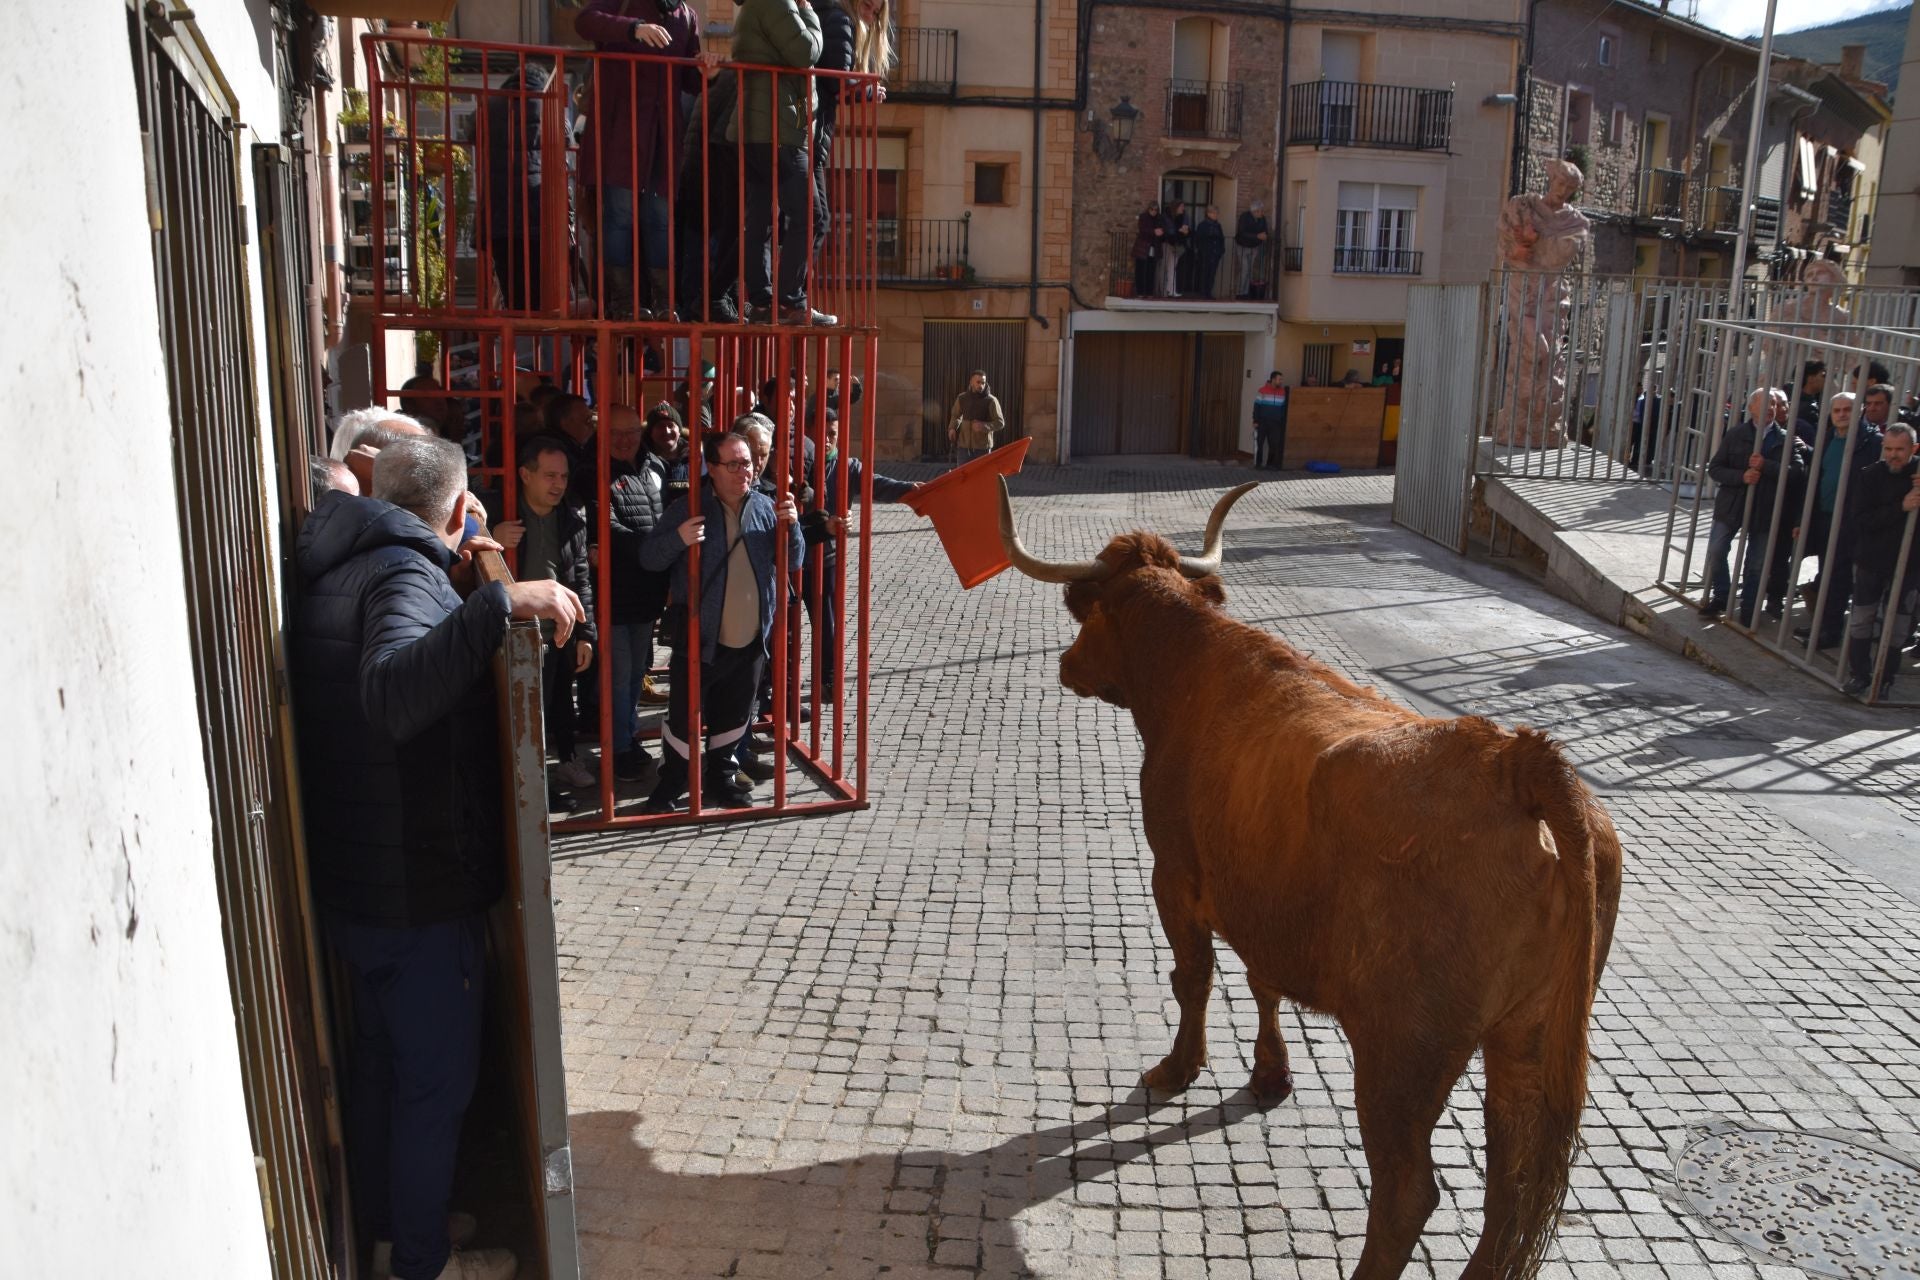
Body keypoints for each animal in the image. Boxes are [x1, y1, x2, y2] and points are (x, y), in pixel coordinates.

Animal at [1006, 483, 1620, 1280]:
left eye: (1086, 613)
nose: (1066, 663)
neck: (1195, 673)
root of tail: (1513, 759)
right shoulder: (1259, 895)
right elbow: (1262, 981)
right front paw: (1271, 1075)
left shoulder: (1176, 874)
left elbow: (1195, 977)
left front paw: (1178, 1068)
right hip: (1526, 1040)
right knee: (1507, 1187)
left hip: (1402, 1054)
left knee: (1408, 1192)